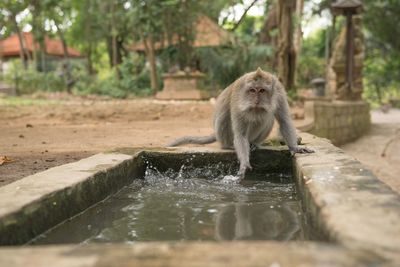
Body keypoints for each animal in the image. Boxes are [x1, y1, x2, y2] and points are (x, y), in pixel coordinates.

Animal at [167, 68, 314, 179]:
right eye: (252, 90)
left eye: (262, 90)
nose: (256, 101)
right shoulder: (238, 97)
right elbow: (240, 134)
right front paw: (244, 163)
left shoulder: (279, 91)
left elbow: (284, 121)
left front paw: (295, 147)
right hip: (224, 135)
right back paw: (229, 146)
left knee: (268, 117)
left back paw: (254, 144)